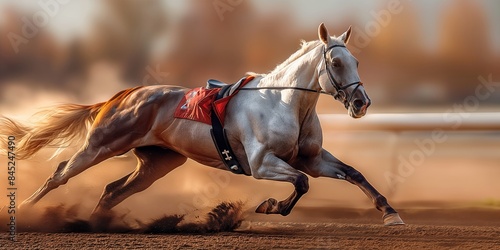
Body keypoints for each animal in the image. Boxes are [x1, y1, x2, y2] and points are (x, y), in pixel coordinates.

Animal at [0, 23, 406, 226]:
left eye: (356, 61)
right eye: (337, 63)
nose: (362, 103)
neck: (284, 103)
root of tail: (119, 96)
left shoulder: (311, 158)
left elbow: (352, 173)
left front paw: (390, 213)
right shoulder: (261, 164)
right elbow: (301, 184)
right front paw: (270, 206)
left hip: (158, 161)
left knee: (114, 191)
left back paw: (96, 222)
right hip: (102, 144)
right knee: (60, 175)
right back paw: (28, 212)